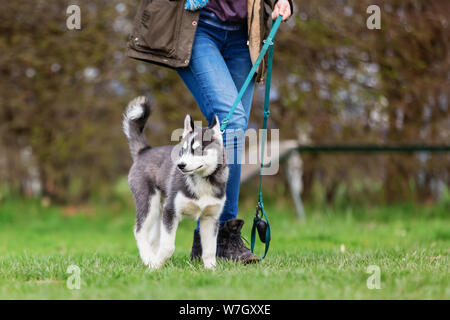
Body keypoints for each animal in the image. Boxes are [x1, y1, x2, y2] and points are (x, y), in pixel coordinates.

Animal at [122, 96, 229, 268]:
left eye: (198, 150)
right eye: (182, 150)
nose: (180, 165)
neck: (201, 181)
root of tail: (145, 151)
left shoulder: (210, 218)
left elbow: (210, 250)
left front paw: (211, 269)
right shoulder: (171, 211)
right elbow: (168, 247)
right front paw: (156, 265)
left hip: (159, 208)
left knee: (152, 237)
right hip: (149, 204)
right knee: (139, 231)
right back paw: (148, 258)